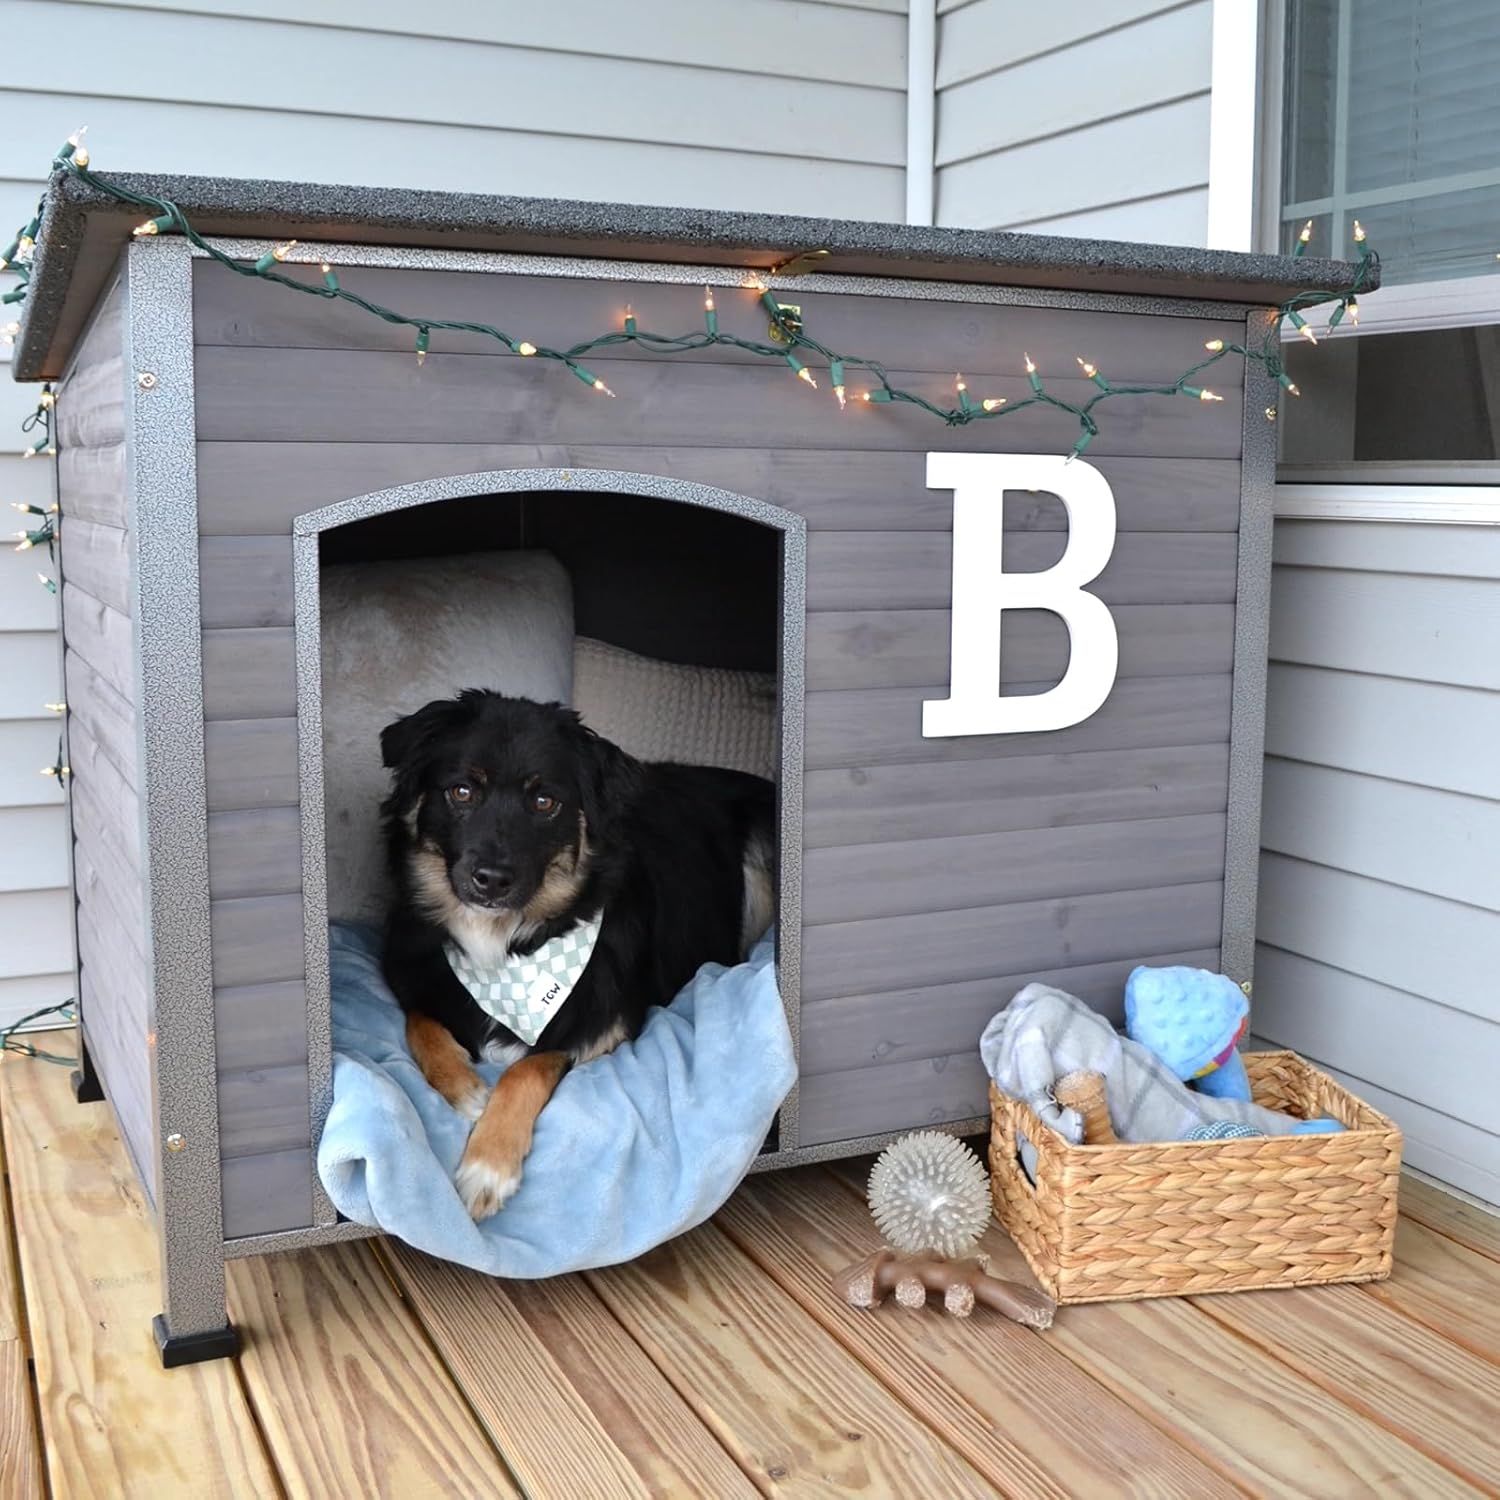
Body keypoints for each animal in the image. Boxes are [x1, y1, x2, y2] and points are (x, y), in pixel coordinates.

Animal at [381, 690, 774, 1218]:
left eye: (544, 802)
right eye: (461, 791)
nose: (491, 880)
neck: (508, 946)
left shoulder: (604, 1025)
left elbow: (530, 1065)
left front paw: (489, 1163)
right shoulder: (411, 972)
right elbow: (419, 1022)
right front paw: (465, 1089)